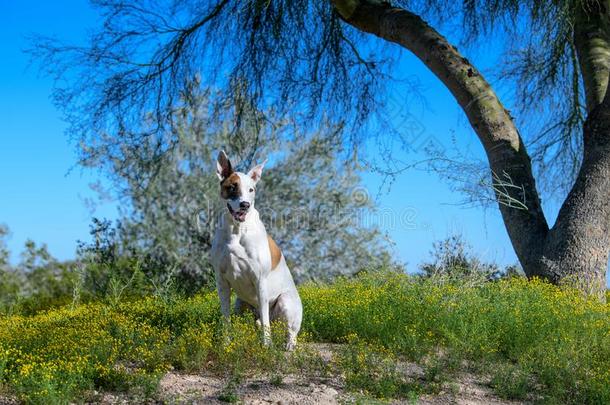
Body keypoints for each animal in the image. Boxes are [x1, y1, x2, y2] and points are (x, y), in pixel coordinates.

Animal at [210, 150, 302, 348]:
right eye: (232, 187)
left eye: (251, 190)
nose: (245, 205)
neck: (237, 229)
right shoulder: (222, 281)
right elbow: (225, 317)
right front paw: (226, 343)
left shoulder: (260, 280)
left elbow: (265, 321)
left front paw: (267, 345)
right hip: (240, 304)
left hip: (285, 302)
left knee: (288, 329)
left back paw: (289, 344)